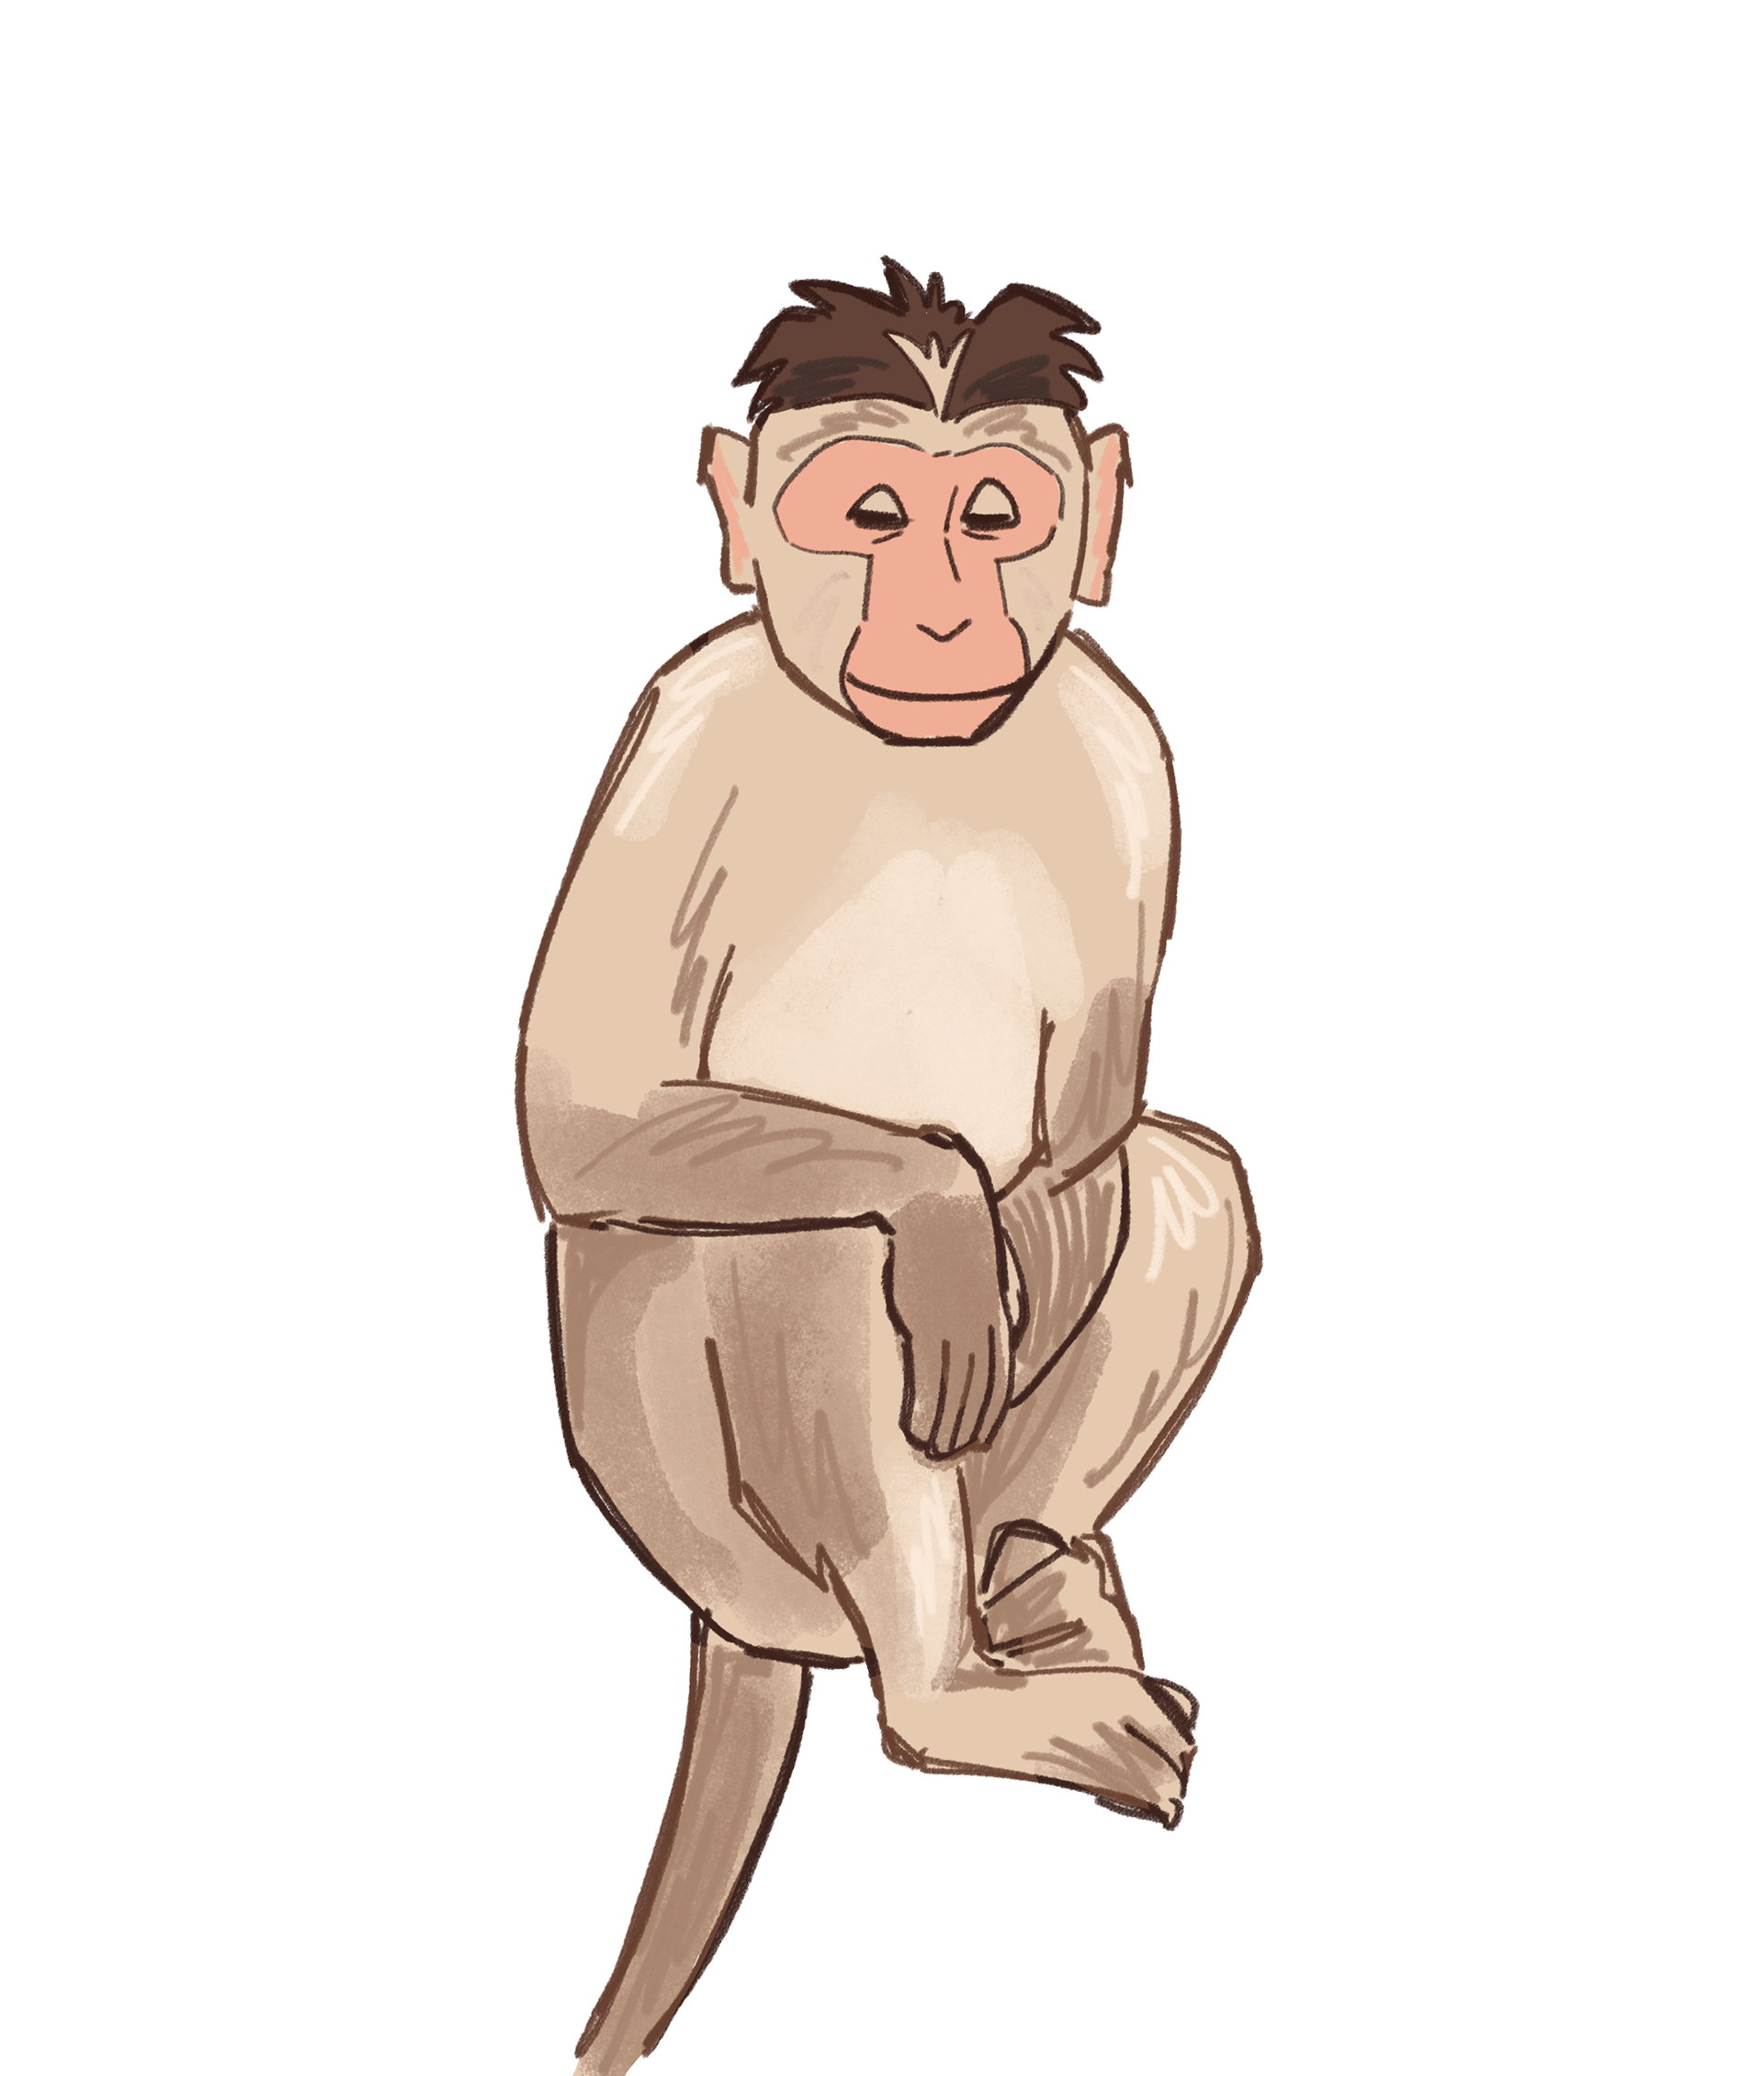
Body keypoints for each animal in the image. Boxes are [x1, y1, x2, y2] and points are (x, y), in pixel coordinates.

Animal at [517, 262, 1261, 2073]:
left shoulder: (1120, 731)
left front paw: (1030, 1231)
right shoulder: (685, 720)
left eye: (992, 518)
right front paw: (948, 1215)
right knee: (820, 1237)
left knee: (1186, 1180)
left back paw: (1032, 1580)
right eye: (870, 514)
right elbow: (581, 1117)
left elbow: (1093, 1138)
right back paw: (944, 1680)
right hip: (682, 1486)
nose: (938, 618)